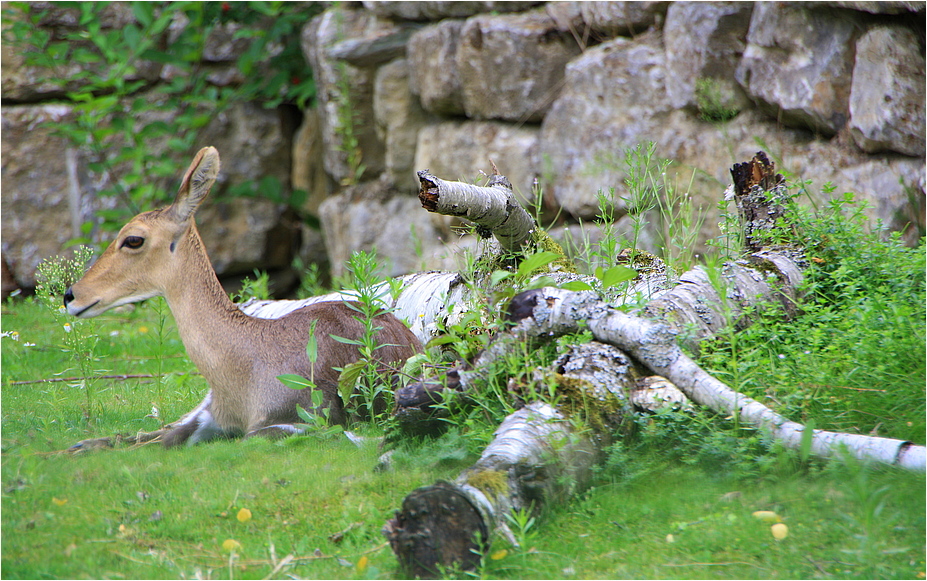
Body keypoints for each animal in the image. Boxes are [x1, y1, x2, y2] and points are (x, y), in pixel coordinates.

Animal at [65, 147, 424, 450]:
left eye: (133, 239)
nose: (71, 295)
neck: (241, 371)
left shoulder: (306, 416)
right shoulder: (210, 415)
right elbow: (156, 438)